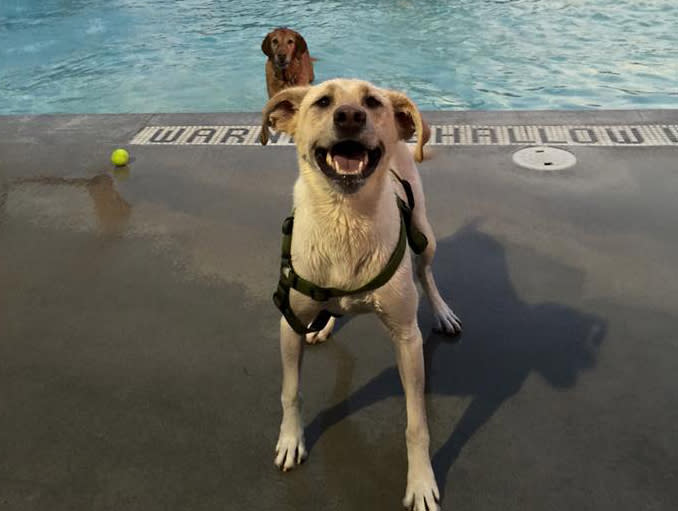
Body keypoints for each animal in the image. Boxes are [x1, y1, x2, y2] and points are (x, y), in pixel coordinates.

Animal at [260, 78, 462, 510]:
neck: (344, 217)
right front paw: (291, 440)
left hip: (425, 234)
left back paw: (442, 312)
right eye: (322, 101)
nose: (351, 116)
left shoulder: (406, 338)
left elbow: (416, 424)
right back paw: (325, 323)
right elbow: (290, 392)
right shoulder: (289, 323)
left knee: (427, 273)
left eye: (372, 101)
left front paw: (420, 481)